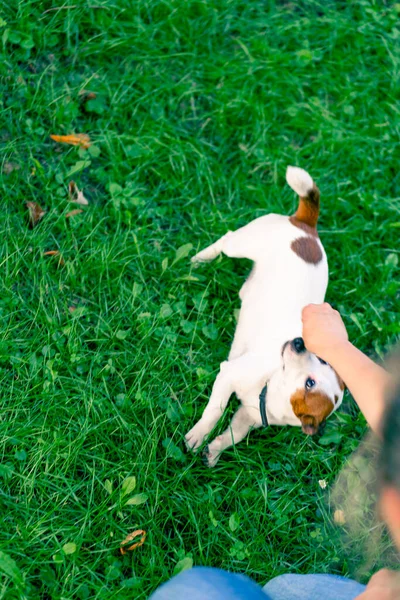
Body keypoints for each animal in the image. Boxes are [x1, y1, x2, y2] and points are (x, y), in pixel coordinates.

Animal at [184, 166, 344, 466]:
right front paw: (199, 434)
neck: (270, 387)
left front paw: (214, 450)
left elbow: (233, 436)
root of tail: (307, 227)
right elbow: (214, 411)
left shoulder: (248, 416)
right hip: (241, 244)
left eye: (310, 383)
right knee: (226, 238)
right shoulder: (227, 375)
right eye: (320, 359)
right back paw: (201, 259)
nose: (298, 342)